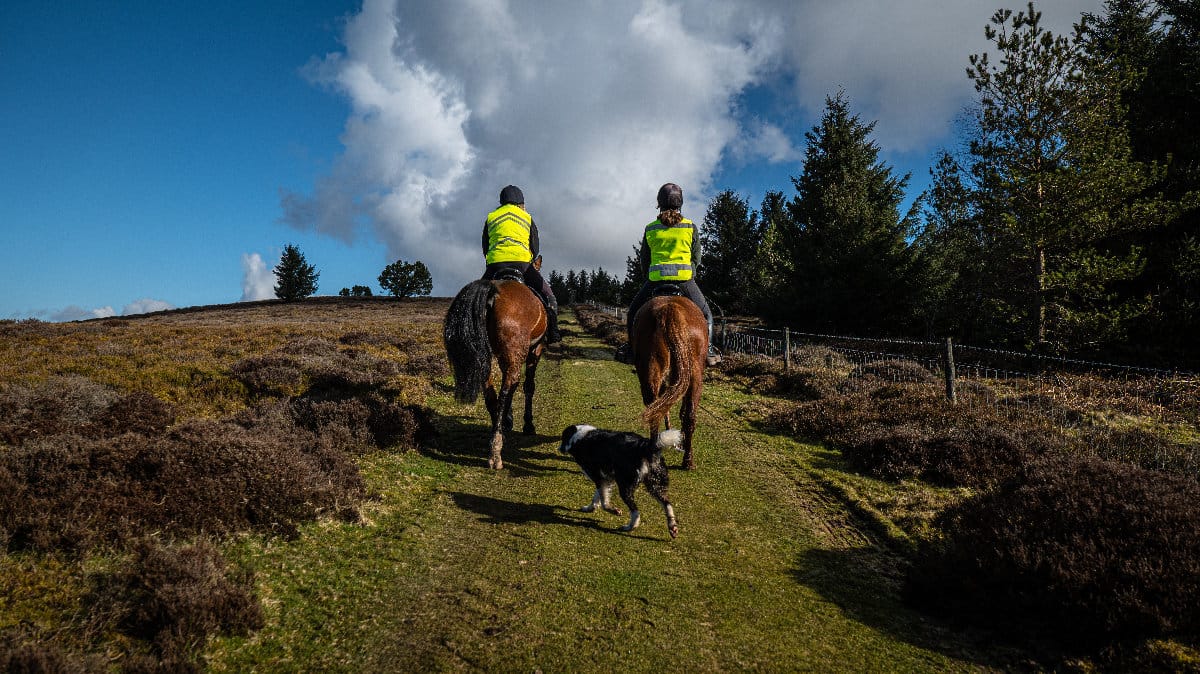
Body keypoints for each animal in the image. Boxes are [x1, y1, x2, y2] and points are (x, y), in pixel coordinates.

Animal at [443, 267, 548, 470]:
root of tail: (492, 291)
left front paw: (508, 421)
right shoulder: (536, 349)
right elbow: (528, 387)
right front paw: (528, 425)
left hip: (485, 358)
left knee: (492, 395)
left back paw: (497, 435)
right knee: (506, 391)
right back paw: (496, 451)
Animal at [631, 294, 708, 469]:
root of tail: (670, 310)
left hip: (652, 372)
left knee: (655, 411)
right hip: (695, 378)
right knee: (689, 416)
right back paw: (687, 460)